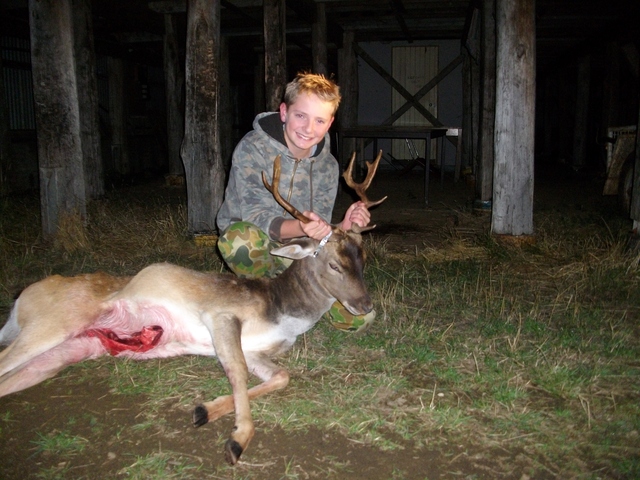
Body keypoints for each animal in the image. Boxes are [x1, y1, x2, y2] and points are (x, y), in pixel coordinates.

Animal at [0, 151, 386, 465]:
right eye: (334, 264)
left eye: (362, 258)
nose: (365, 304)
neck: (281, 311)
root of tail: (22, 298)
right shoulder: (221, 314)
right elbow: (238, 371)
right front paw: (238, 439)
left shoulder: (259, 349)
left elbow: (280, 376)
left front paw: (205, 410)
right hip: (54, 323)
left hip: (67, 352)